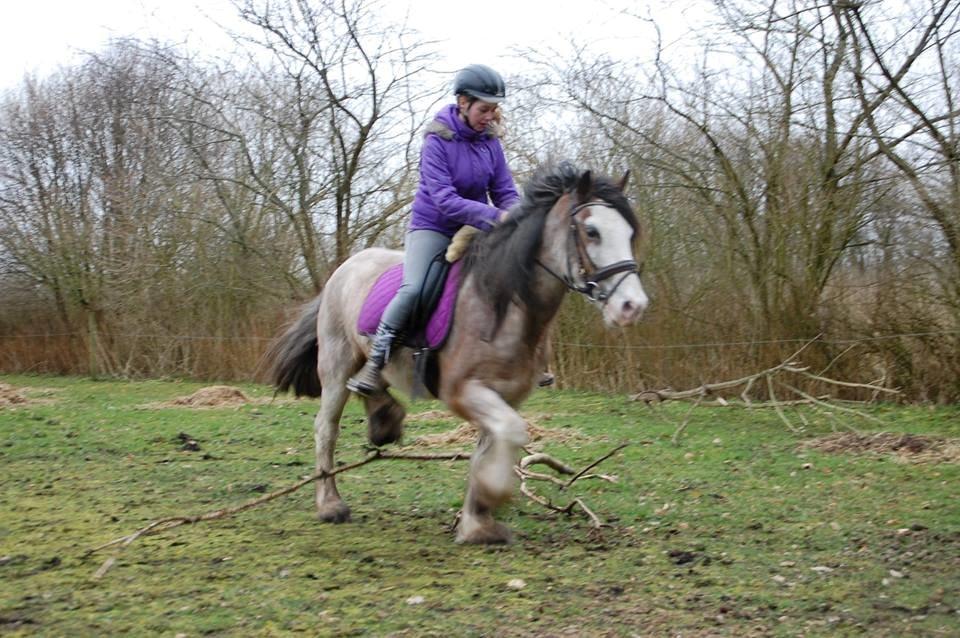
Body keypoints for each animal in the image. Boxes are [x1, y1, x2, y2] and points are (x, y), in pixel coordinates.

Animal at [266, 161, 648, 544]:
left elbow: (489, 446)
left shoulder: (505, 396)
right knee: (326, 428)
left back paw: (385, 420)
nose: (633, 307)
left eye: (629, 232)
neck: (503, 307)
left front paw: (476, 522)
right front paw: (493, 493)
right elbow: (510, 433)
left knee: (370, 384)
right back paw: (330, 505)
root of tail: (345, 267)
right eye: (592, 231)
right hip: (336, 363)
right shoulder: (462, 392)